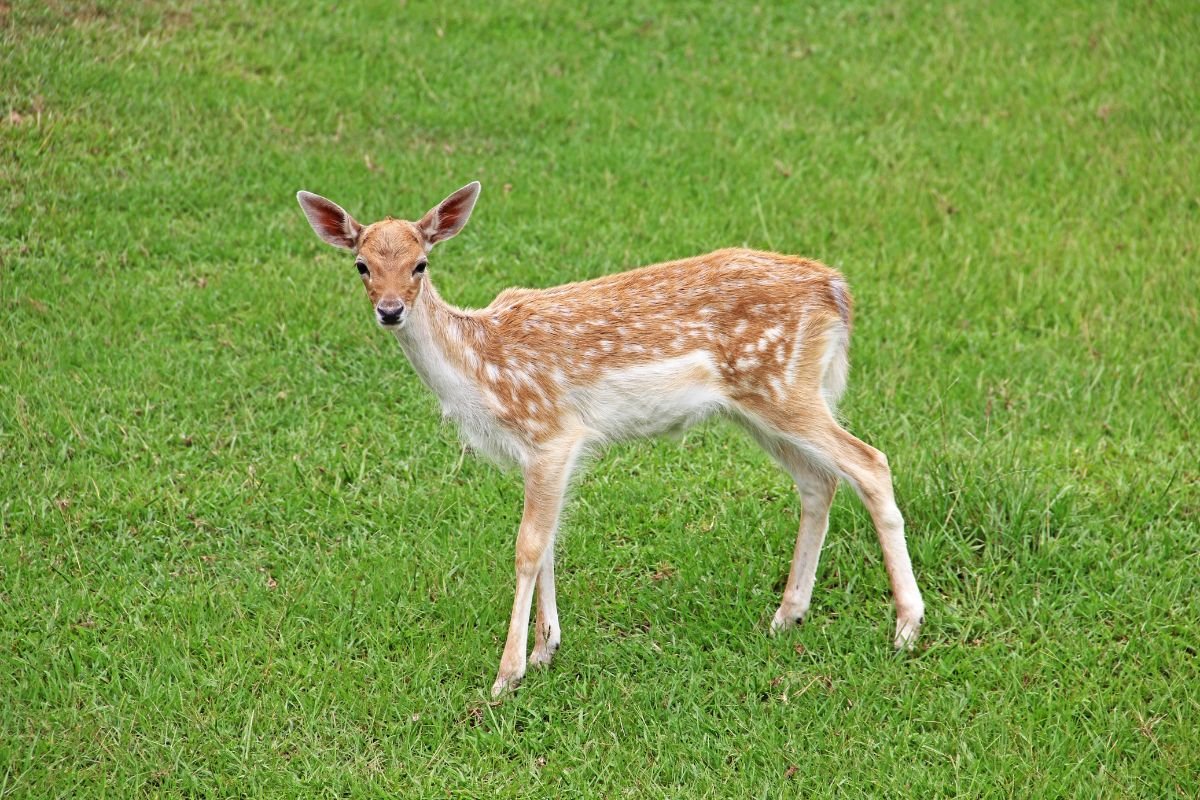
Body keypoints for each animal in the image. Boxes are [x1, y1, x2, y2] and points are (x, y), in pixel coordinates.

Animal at [296, 182, 924, 696]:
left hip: (783, 387)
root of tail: (837, 291)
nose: (390, 310)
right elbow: (549, 540)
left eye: (421, 264)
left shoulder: (552, 433)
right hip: (759, 404)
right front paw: (546, 650)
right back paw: (786, 616)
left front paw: (507, 674)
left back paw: (906, 626)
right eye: (361, 265)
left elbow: (527, 546)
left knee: (870, 462)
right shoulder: (542, 452)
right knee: (819, 481)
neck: (482, 373)